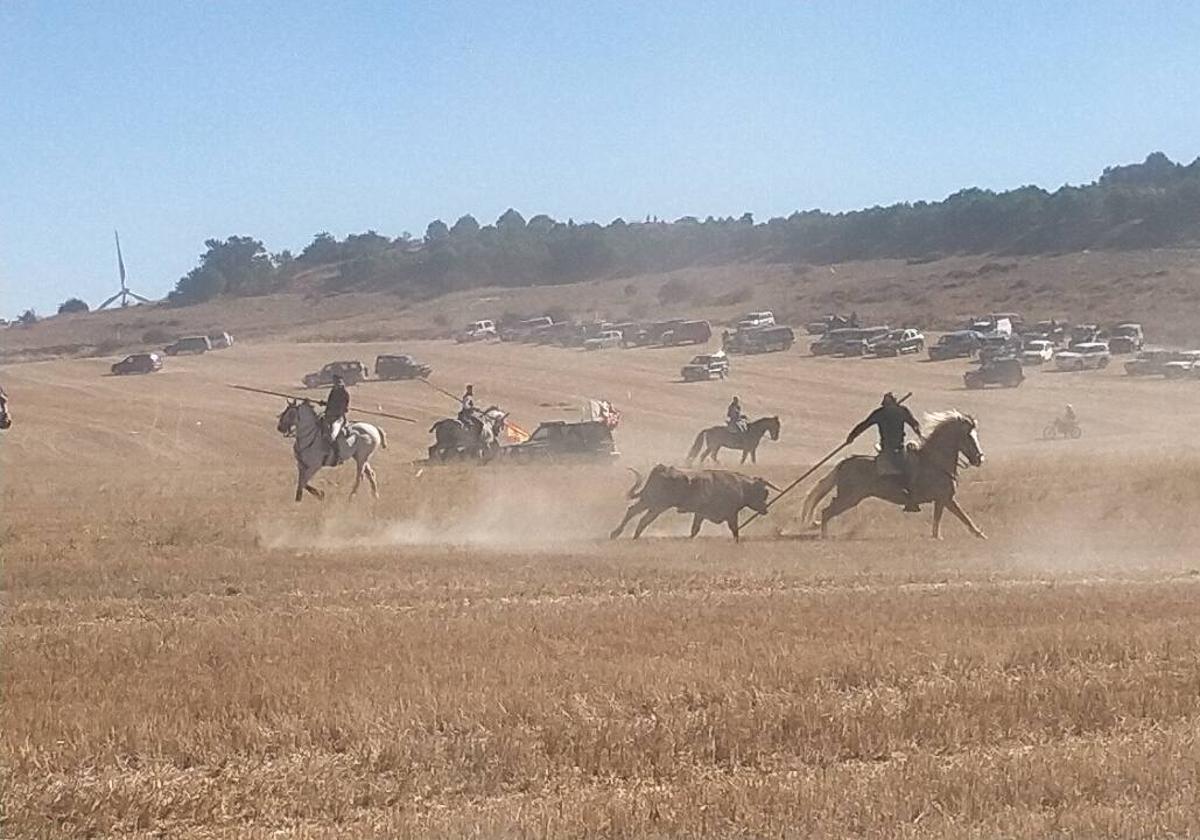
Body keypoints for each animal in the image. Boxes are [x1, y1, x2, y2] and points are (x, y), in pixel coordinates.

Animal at [609, 463, 777, 542]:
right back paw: (629, 535)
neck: (740, 486)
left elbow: (695, 529)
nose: (766, 509)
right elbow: (734, 529)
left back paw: (619, 534)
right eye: (763, 492)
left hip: (649, 502)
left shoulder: (700, 514)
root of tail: (662, 468)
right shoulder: (731, 514)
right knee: (642, 518)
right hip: (656, 505)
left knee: (633, 512)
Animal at [801, 412, 988, 542]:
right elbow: (962, 517)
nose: (979, 459)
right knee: (826, 511)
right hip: (849, 498)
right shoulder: (945, 498)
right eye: (969, 436)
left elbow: (945, 520)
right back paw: (824, 535)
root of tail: (845, 462)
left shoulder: (943, 500)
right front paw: (979, 534)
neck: (935, 462)